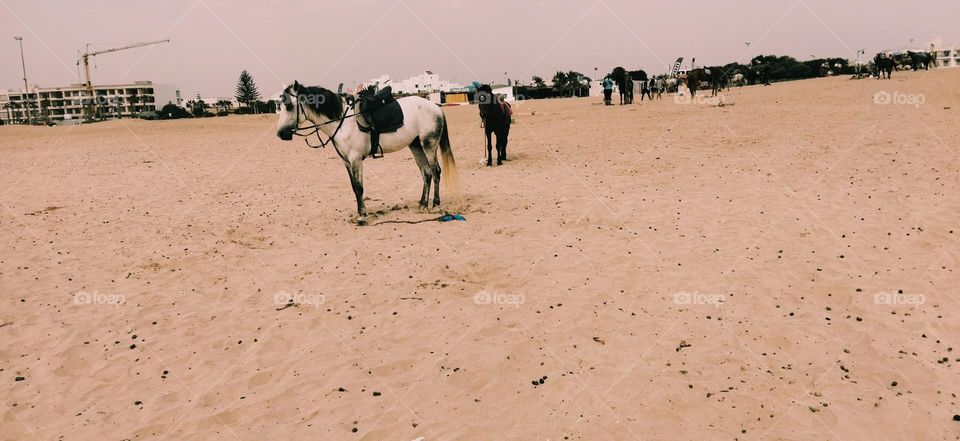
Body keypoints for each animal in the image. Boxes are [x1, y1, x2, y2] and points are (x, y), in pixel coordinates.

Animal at [276, 82, 460, 225]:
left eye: (289, 106)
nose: (280, 134)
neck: (342, 121)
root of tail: (435, 107)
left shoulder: (355, 159)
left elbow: (359, 187)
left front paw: (362, 217)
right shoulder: (346, 162)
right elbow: (354, 187)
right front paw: (359, 214)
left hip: (429, 144)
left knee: (435, 172)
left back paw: (435, 205)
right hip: (415, 146)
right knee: (426, 173)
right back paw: (422, 205)